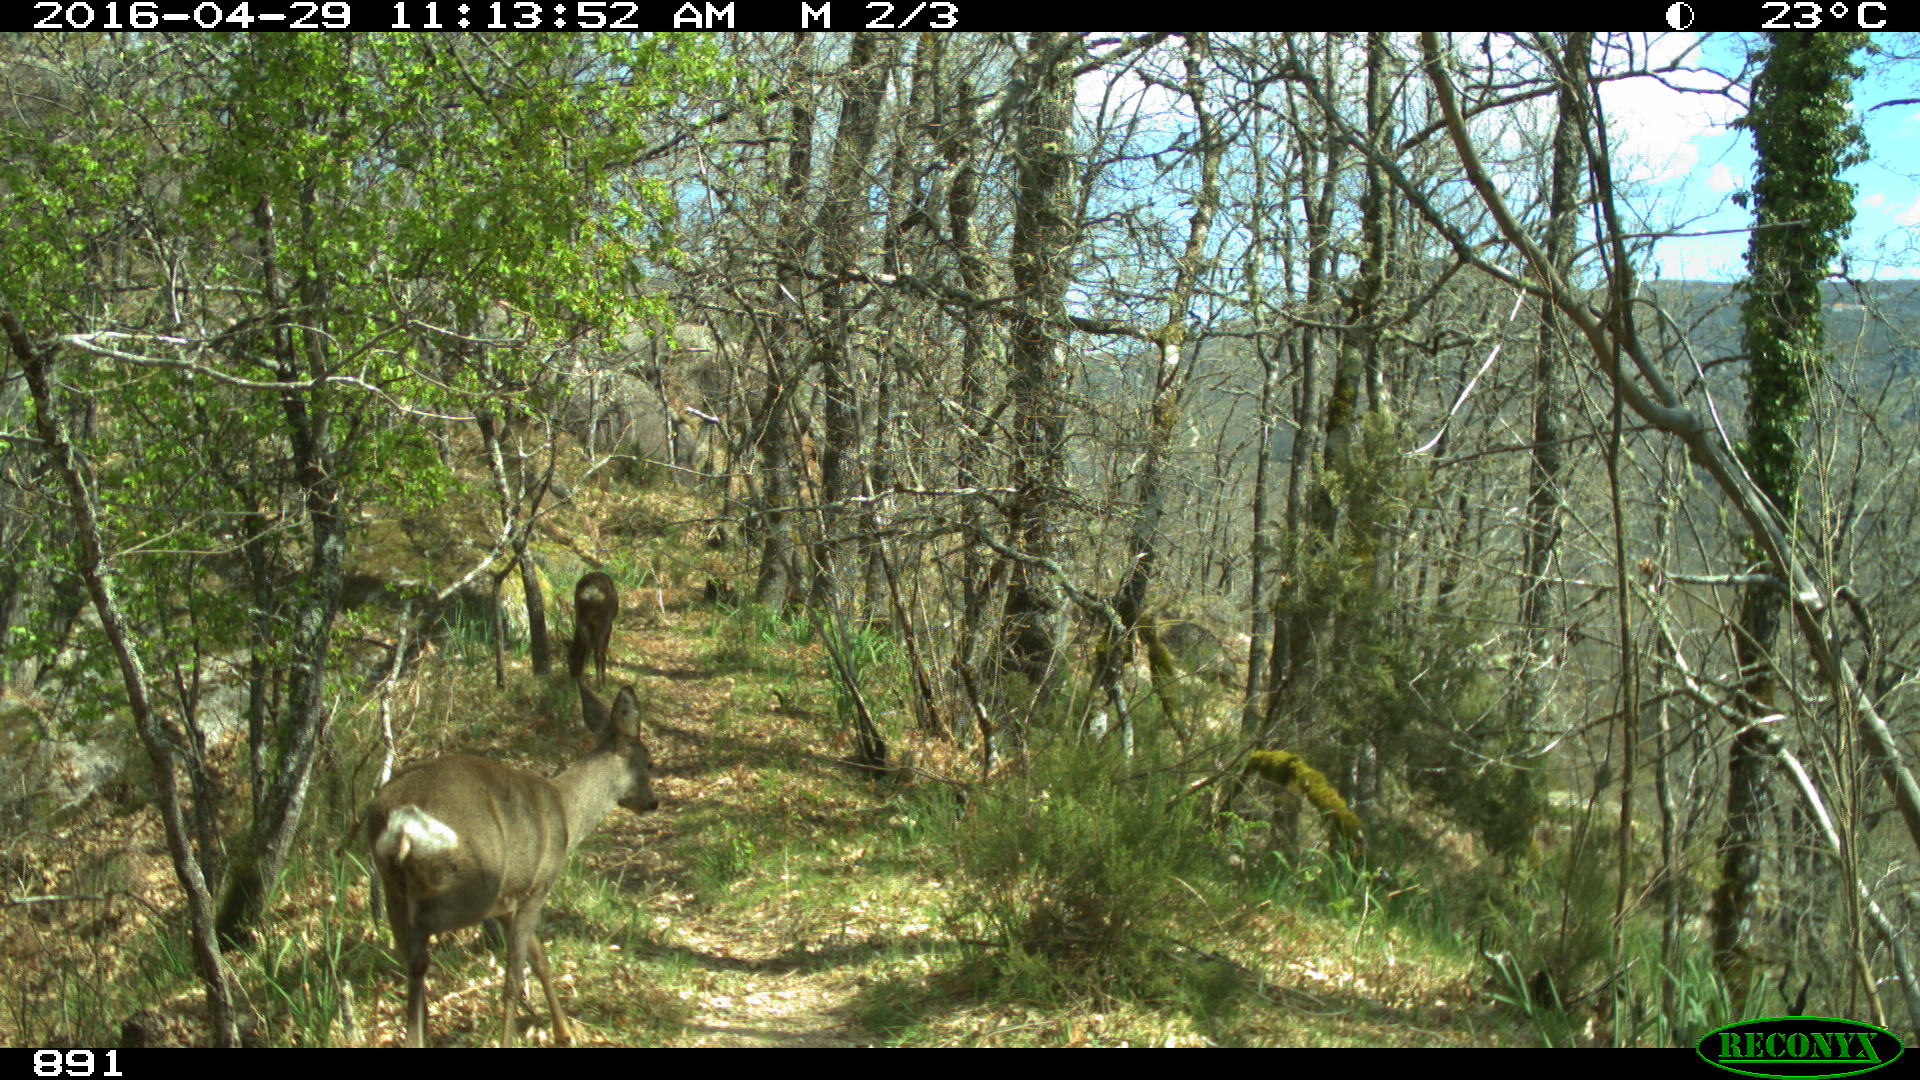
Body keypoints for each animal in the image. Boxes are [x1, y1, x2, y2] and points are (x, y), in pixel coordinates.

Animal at [364, 681, 658, 1047]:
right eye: (649, 762)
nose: (653, 802)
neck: (567, 815)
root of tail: (402, 824)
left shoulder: (508, 899)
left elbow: (540, 958)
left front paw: (565, 1032)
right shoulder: (539, 885)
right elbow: (514, 977)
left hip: (394, 888)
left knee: (410, 958)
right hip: (469, 886)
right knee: (421, 950)